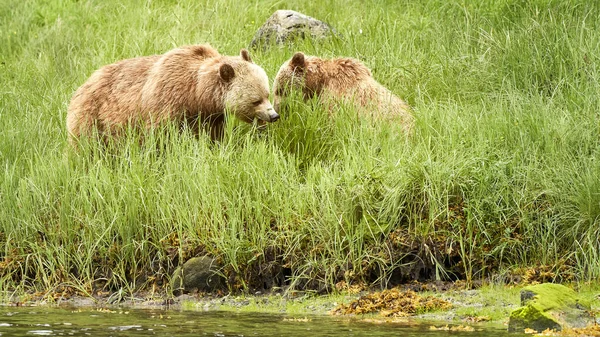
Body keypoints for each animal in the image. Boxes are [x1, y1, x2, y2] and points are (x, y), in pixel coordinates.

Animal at [66, 44, 278, 142]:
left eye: (267, 94)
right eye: (256, 100)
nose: (274, 115)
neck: (196, 94)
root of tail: (83, 84)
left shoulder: (210, 116)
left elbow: (213, 135)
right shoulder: (167, 101)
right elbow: (159, 136)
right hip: (93, 116)